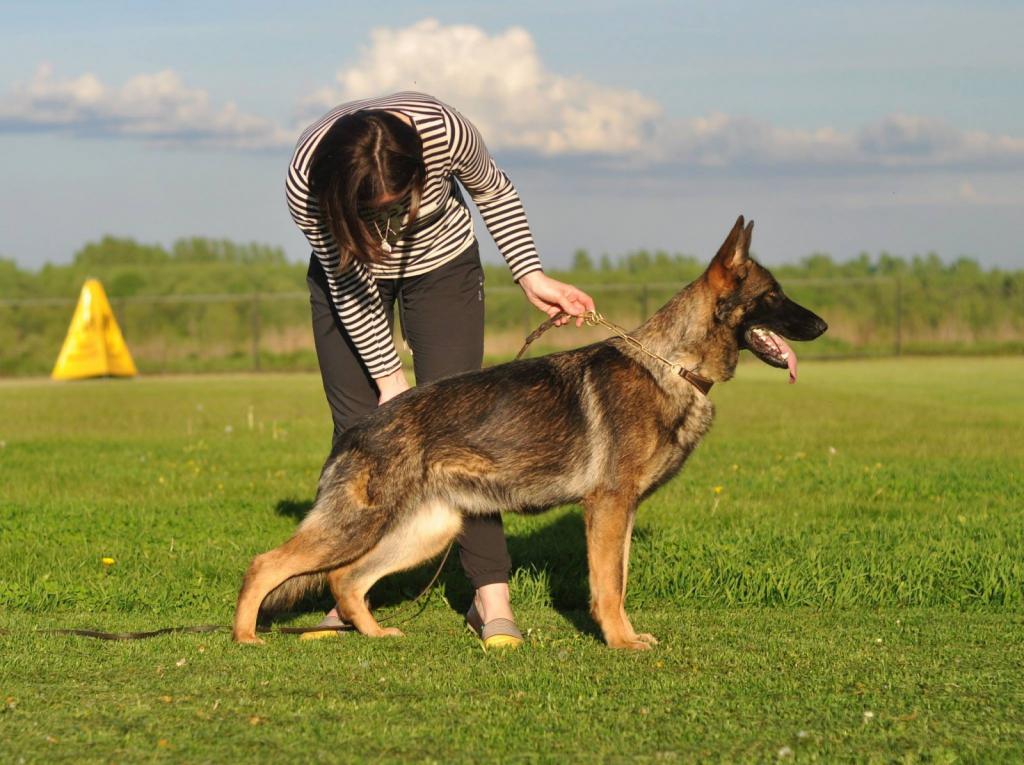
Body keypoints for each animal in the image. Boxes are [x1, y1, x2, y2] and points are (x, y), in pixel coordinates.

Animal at [235, 217, 827, 651]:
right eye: (774, 295)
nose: (823, 326)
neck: (673, 364)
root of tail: (357, 429)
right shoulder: (608, 507)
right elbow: (608, 587)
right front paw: (620, 643)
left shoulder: (623, 512)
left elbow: (619, 579)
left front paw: (627, 635)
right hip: (360, 525)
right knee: (267, 564)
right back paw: (245, 637)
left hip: (427, 531)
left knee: (347, 580)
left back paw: (376, 634)